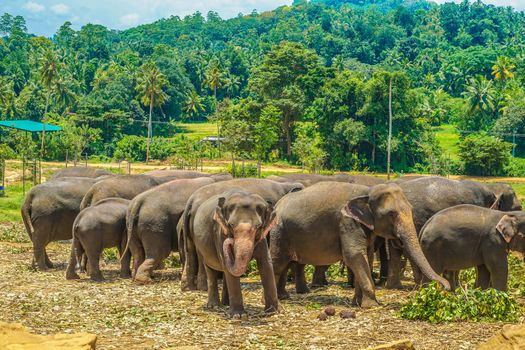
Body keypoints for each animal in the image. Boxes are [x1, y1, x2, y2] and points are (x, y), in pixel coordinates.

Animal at [192, 190, 278, 318]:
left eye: (258, 226)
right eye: (231, 225)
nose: (230, 241)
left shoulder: (262, 239)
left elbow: (266, 263)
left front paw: (273, 311)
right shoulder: (220, 232)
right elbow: (228, 268)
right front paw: (238, 316)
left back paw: (226, 304)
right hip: (201, 247)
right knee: (210, 270)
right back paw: (214, 306)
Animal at [268, 182, 448, 308]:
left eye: (410, 209)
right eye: (391, 214)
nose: (445, 286)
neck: (367, 191)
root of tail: (277, 204)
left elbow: (365, 256)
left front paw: (357, 303)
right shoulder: (347, 223)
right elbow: (354, 255)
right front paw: (371, 305)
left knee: (286, 263)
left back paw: (285, 296)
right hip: (279, 232)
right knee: (277, 263)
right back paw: (275, 302)